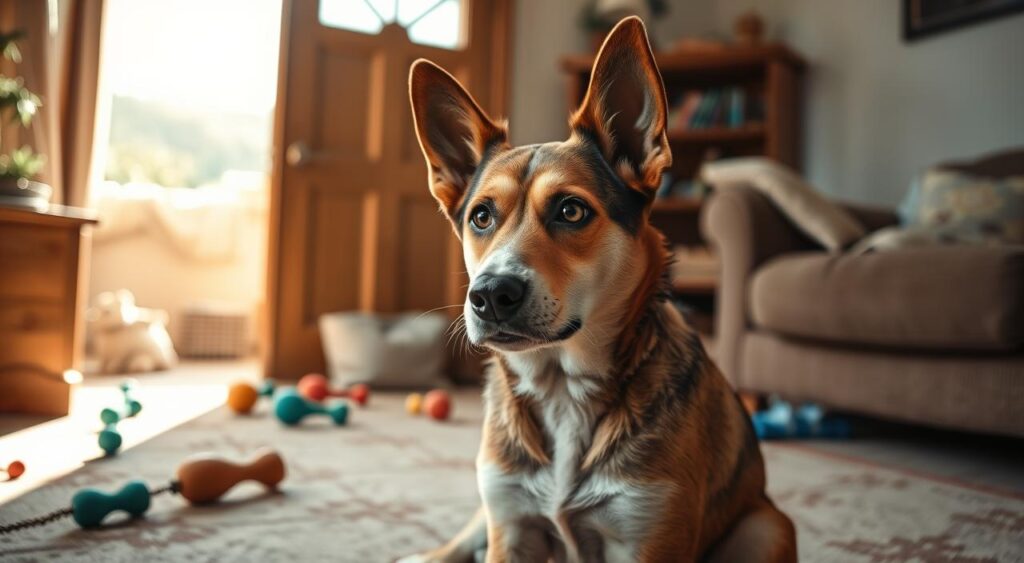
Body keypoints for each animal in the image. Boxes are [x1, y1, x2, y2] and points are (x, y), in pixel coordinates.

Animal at [403, 17, 794, 563]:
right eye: (481, 216)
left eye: (571, 210)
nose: (490, 295)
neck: (562, 388)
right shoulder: (511, 527)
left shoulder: (648, 536)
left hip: (768, 526)